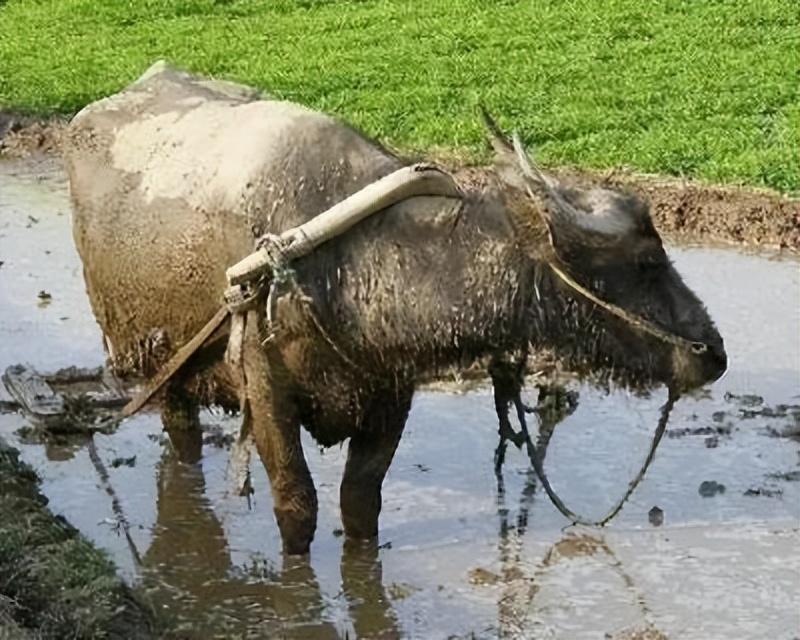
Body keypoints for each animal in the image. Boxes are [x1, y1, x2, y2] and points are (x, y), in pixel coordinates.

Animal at [62, 63, 724, 556]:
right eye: (646, 261)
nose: (712, 353)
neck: (346, 267)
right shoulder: (265, 388)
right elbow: (297, 506)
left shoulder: (391, 391)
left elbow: (361, 504)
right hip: (157, 362)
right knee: (182, 441)